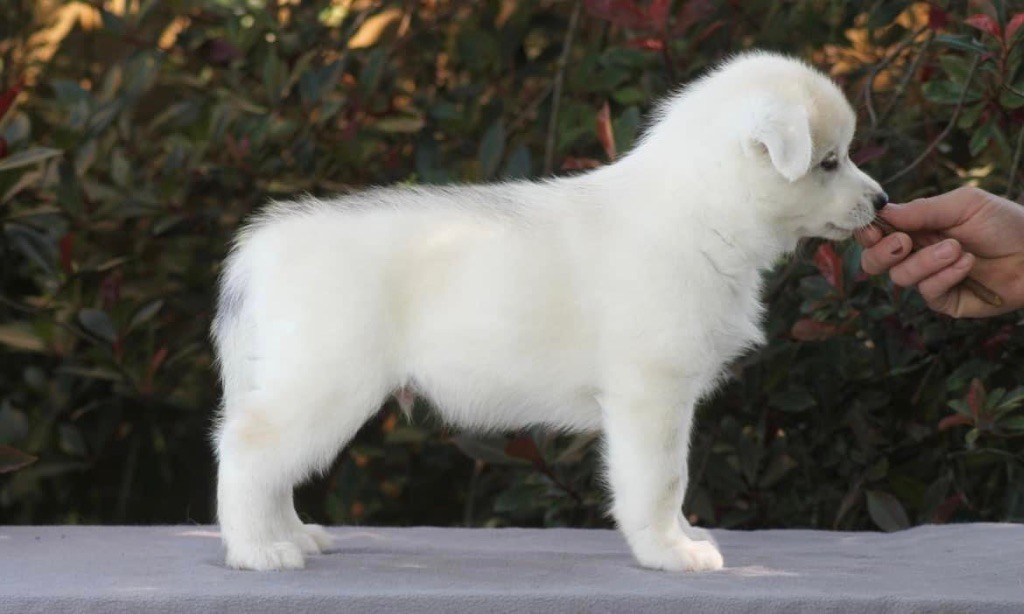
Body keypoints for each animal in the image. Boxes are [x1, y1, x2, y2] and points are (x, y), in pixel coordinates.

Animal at [211, 51, 884, 568]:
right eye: (829, 161)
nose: (882, 201)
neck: (700, 211)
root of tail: (264, 247)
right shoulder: (651, 394)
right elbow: (662, 481)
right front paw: (671, 551)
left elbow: (672, 483)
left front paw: (686, 536)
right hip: (325, 385)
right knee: (246, 451)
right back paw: (258, 551)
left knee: (271, 468)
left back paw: (294, 536)